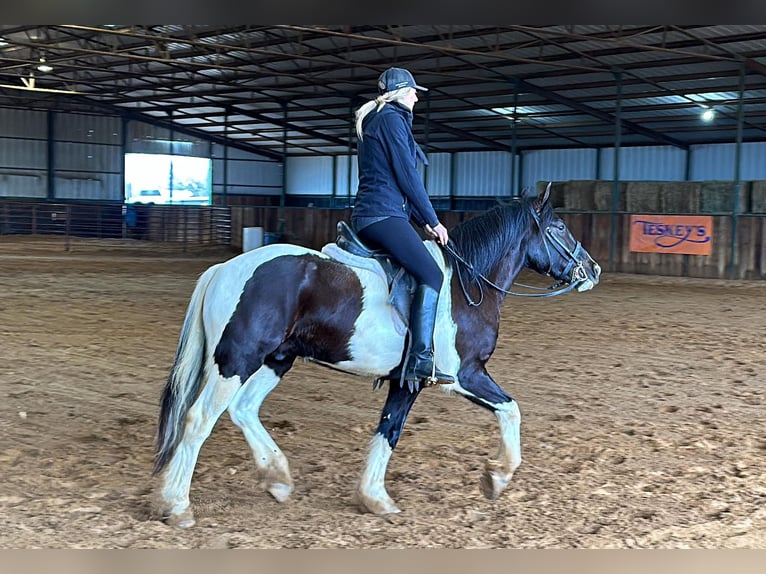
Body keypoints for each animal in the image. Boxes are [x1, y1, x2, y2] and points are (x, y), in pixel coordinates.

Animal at [153, 187, 604, 528]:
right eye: (559, 228)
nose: (593, 269)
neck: (466, 282)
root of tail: (225, 269)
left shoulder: (406, 380)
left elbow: (388, 429)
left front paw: (373, 497)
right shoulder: (465, 375)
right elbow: (510, 410)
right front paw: (497, 475)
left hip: (276, 358)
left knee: (244, 409)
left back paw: (276, 477)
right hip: (237, 359)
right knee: (198, 419)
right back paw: (176, 504)